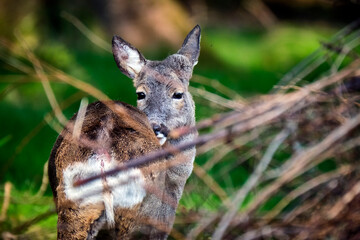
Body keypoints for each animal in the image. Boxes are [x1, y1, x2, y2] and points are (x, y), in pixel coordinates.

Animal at [47, 25, 200, 239]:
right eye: (140, 94)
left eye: (178, 94)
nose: (156, 127)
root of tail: (102, 157)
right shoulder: (163, 217)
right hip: (136, 214)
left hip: (76, 208)